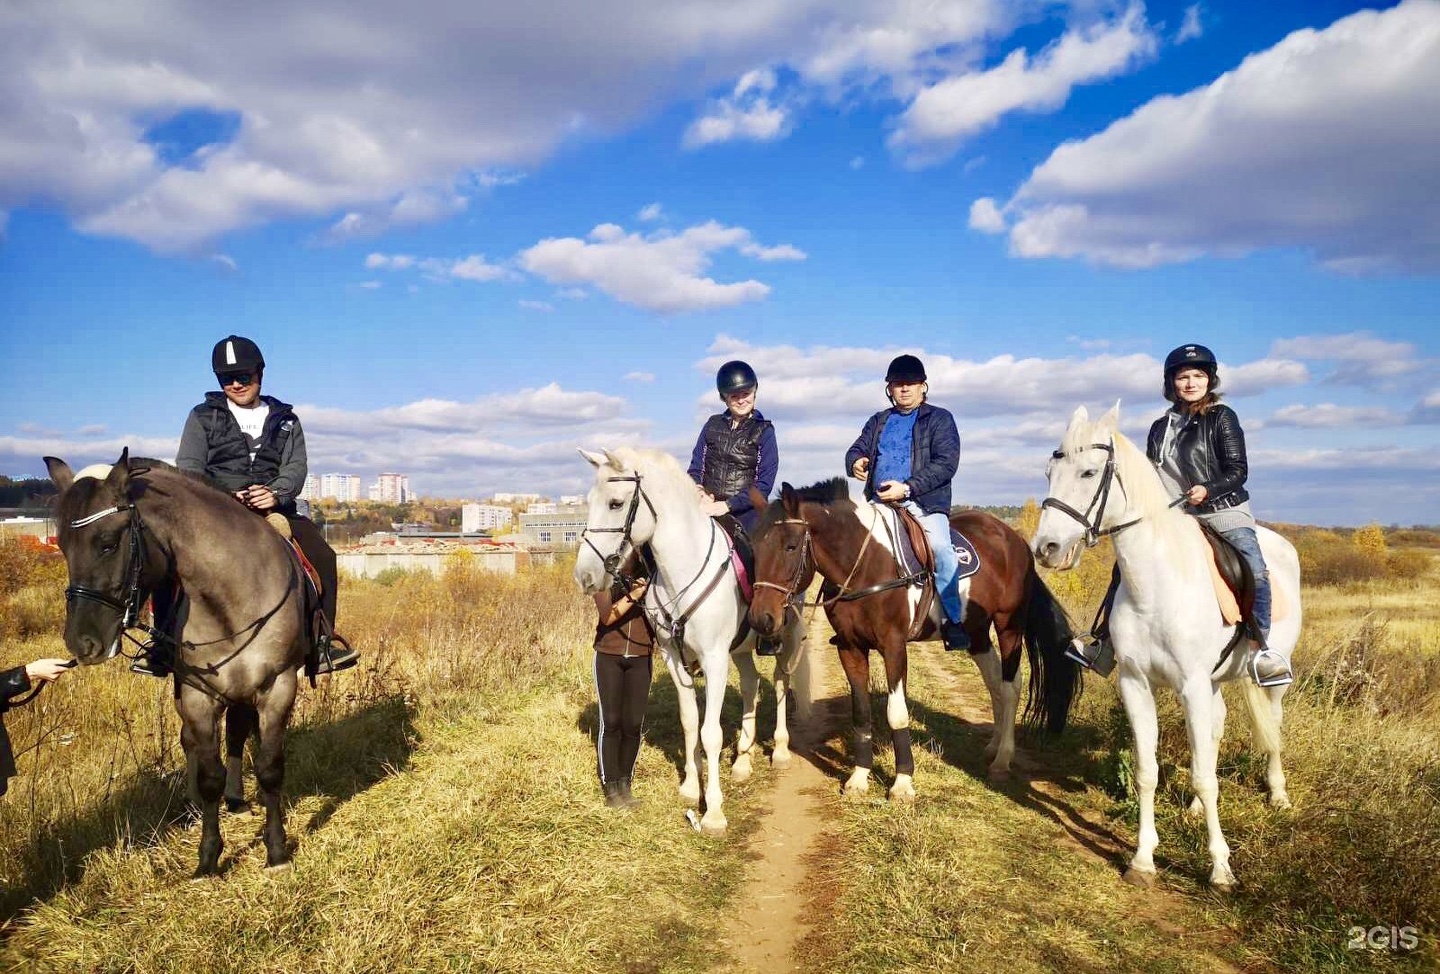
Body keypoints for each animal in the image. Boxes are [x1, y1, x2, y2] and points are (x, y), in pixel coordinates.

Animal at [570, 443, 812, 835]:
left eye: (616, 503)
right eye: (589, 500)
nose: (585, 576)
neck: (681, 572)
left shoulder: (714, 659)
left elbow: (710, 732)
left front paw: (712, 811)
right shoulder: (674, 657)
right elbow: (689, 722)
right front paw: (689, 786)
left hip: (783, 636)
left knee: (778, 682)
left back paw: (779, 750)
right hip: (739, 651)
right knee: (750, 684)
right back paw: (743, 760)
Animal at [748, 478, 1077, 801]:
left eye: (790, 546)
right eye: (753, 546)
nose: (761, 619)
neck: (866, 563)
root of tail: (1016, 540)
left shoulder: (893, 647)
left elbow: (897, 713)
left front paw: (903, 783)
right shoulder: (850, 648)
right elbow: (861, 713)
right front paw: (859, 777)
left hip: (1009, 625)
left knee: (1010, 686)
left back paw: (1002, 759)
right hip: (977, 634)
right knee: (994, 683)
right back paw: (994, 747)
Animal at [1031, 403, 1301, 887]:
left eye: (1088, 472)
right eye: (1049, 472)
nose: (1046, 548)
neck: (1156, 584)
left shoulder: (1190, 685)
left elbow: (1206, 778)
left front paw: (1220, 868)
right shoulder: (1137, 684)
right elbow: (1148, 772)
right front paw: (1142, 860)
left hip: (1272, 677)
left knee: (1272, 726)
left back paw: (1278, 795)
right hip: (1213, 682)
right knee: (1214, 731)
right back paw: (1194, 810)